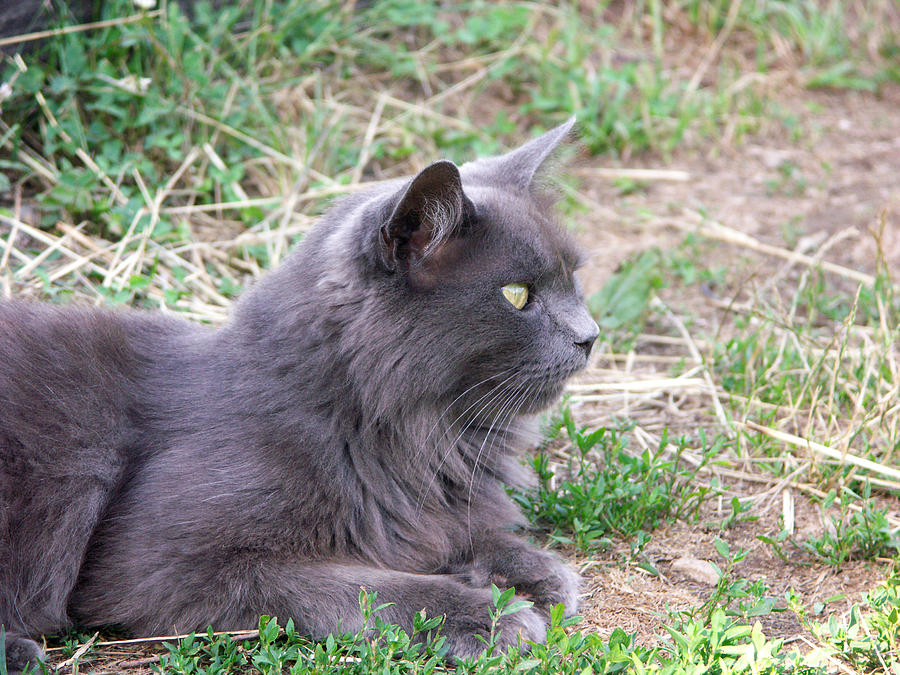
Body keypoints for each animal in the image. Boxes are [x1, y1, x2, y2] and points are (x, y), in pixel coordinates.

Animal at [3, 117, 600, 672]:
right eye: (517, 295)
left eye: (574, 278)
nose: (591, 335)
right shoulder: (164, 564)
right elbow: (367, 589)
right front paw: (486, 614)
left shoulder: (420, 513)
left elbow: (450, 537)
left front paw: (535, 572)